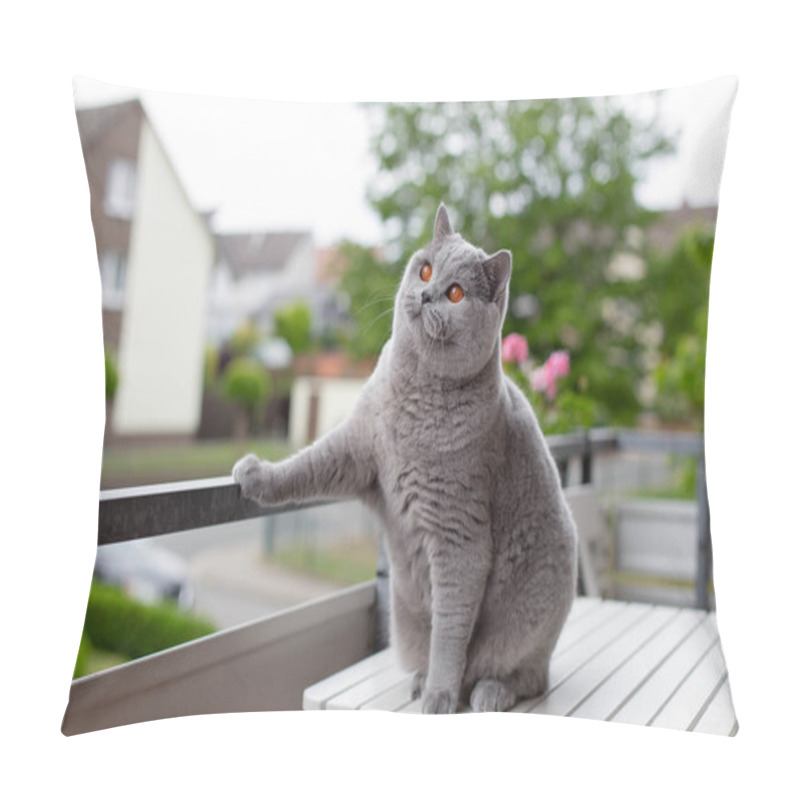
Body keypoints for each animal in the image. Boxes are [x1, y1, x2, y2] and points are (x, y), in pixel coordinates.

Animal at [234, 202, 580, 712]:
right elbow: (306, 466)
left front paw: (439, 696)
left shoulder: (460, 537)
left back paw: (485, 691)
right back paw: (421, 679)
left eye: (456, 293)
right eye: (426, 269)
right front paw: (255, 474)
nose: (428, 294)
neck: (414, 396)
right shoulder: (358, 449)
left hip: (530, 622)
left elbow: (450, 634)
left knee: (528, 676)